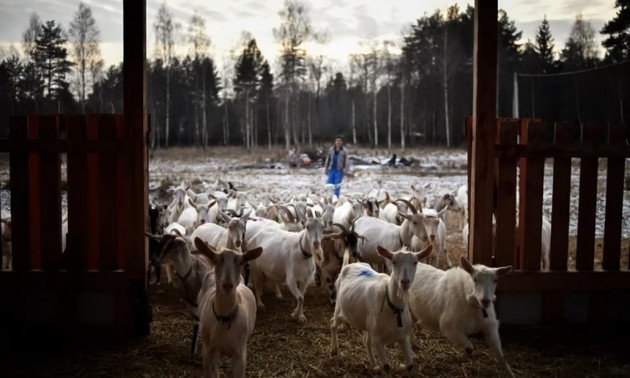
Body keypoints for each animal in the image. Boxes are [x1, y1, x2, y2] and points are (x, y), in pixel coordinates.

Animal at [193, 238, 262, 376]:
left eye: (241, 262)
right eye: (215, 260)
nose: (227, 285)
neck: (223, 319)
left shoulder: (240, 354)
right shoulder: (207, 350)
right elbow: (210, 372)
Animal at [330, 244, 434, 374]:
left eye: (415, 262)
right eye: (394, 262)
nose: (405, 282)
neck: (392, 308)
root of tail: (348, 266)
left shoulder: (402, 337)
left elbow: (410, 365)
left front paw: (401, 366)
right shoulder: (378, 340)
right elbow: (387, 367)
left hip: (368, 322)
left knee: (365, 340)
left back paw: (374, 366)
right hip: (340, 310)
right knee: (333, 324)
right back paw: (334, 350)